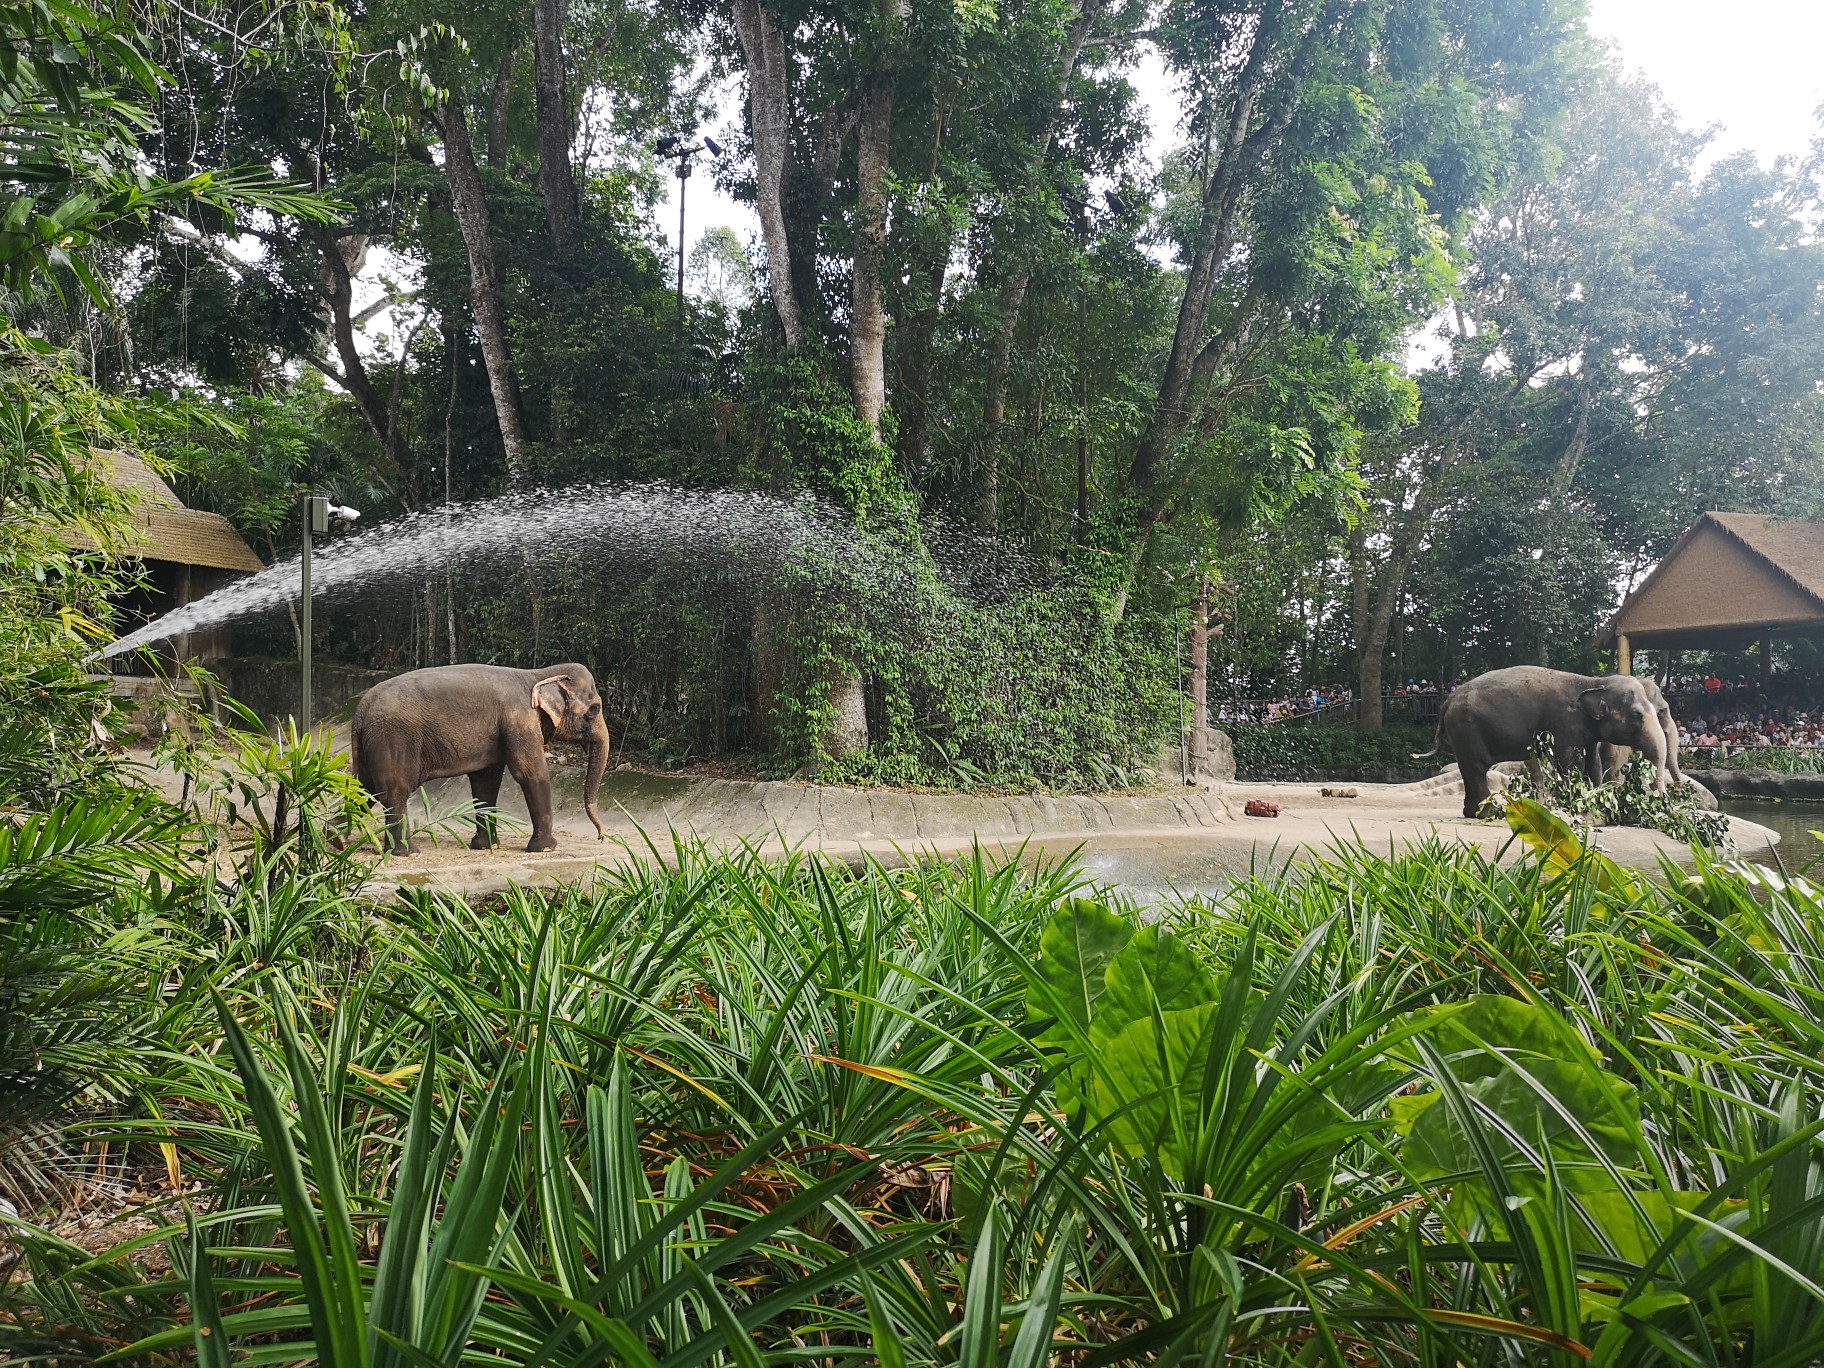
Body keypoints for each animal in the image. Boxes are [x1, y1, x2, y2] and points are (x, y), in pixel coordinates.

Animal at [348, 663, 612, 857]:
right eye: (594, 709)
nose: (601, 837)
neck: (538, 674)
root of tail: (361, 710)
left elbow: (486, 782)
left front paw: (487, 846)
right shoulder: (520, 722)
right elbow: (530, 774)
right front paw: (546, 849)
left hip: (372, 746)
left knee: (363, 790)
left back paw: (342, 843)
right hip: (393, 740)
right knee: (394, 791)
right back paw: (409, 852)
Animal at [1415, 667, 1670, 820]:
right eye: (1636, 714)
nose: (1664, 802)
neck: (1593, 681)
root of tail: (1447, 701)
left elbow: (1593, 763)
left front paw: (1594, 804)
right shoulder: (1564, 724)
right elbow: (1570, 763)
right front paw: (1575, 805)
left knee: (1468, 768)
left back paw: (1473, 813)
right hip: (1467, 728)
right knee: (1476, 768)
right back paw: (1489, 813)